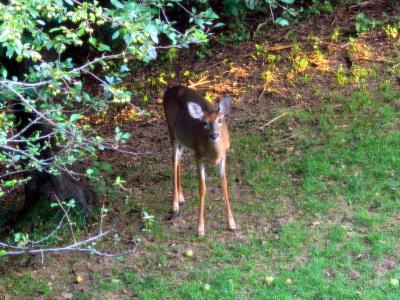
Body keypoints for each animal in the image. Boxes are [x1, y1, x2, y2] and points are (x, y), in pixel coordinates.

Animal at [163, 85, 238, 236]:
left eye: (220, 120)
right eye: (204, 123)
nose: (213, 134)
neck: (214, 154)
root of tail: (168, 91)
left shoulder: (224, 156)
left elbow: (224, 184)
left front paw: (232, 223)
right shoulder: (198, 156)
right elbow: (202, 188)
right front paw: (200, 228)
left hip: (184, 141)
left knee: (178, 158)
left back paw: (181, 198)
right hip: (172, 130)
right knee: (174, 160)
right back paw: (175, 206)